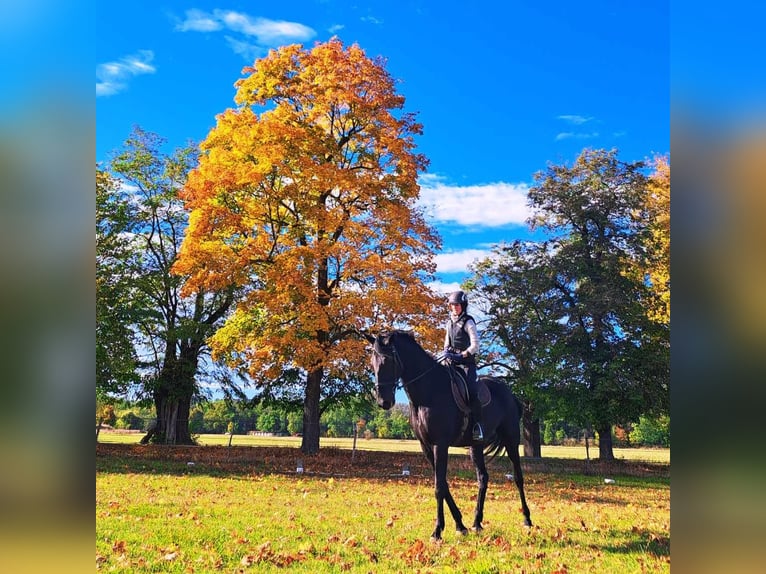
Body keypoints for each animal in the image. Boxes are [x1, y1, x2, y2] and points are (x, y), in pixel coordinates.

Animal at [368, 330, 536, 544]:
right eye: (372, 362)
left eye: (388, 360)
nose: (384, 402)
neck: (428, 391)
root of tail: (509, 393)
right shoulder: (426, 447)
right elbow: (443, 484)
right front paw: (460, 525)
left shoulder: (440, 445)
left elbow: (439, 487)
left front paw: (437, 531)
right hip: (475, 446)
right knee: (483, 477)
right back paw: (477, 522)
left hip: (511, 440)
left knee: (518, 477)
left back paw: (527, 520)